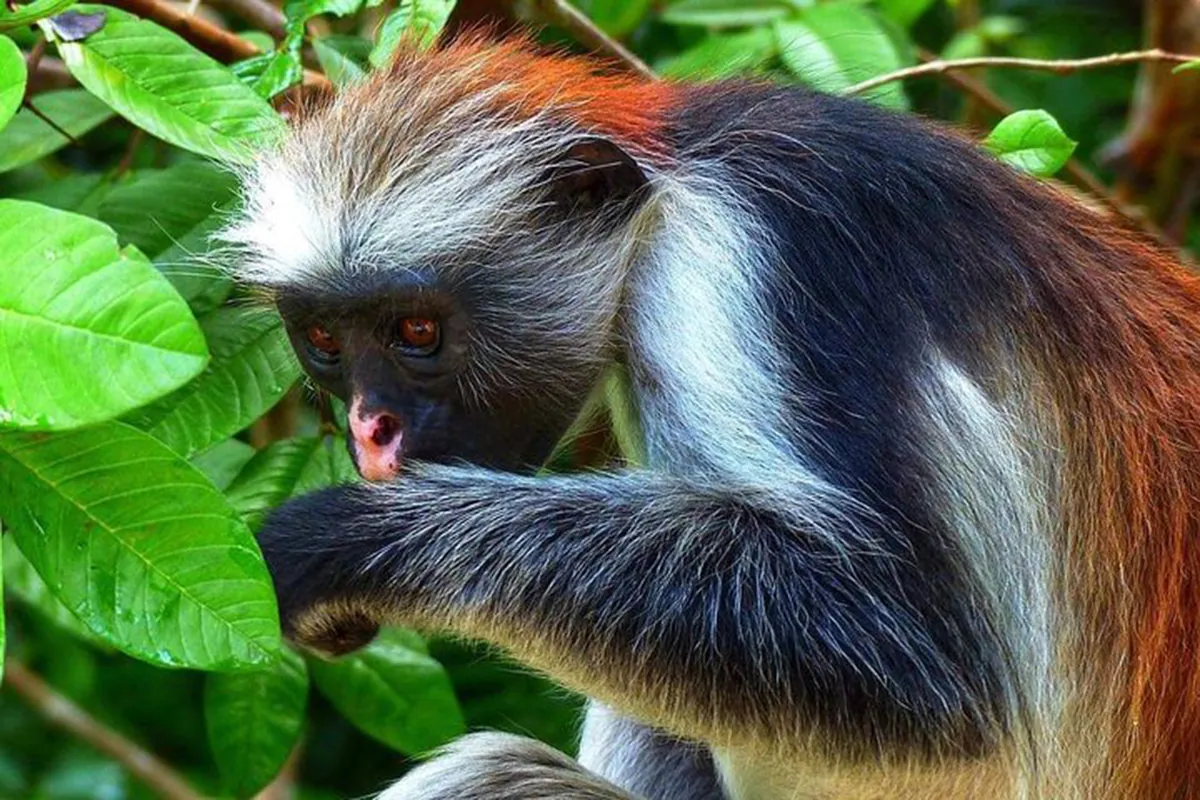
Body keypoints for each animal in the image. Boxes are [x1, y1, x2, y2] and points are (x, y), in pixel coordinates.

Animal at [220, 35, 1200, 800]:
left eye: (416, 331)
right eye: (324, 340)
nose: (367, 429)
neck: (670, 184)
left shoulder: (745, 252)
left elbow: (920, 672)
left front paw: (340, 541)